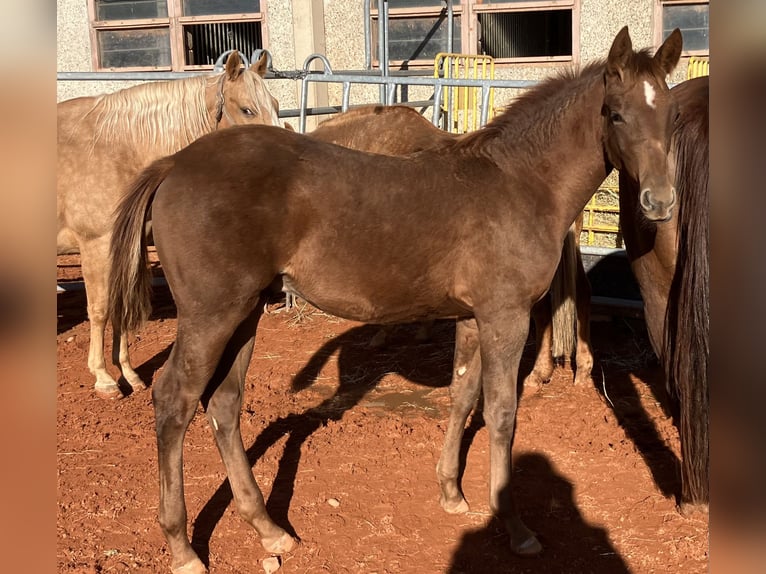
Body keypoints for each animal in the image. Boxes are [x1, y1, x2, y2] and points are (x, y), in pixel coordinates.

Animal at [57, 51, 281, 400]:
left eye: (276, 103)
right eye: (247, 109)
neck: (119, 149)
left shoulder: (127, 247)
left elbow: (121, 308)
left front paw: (130, 375)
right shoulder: (96, 244)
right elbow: (100, 309)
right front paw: (104, 379)